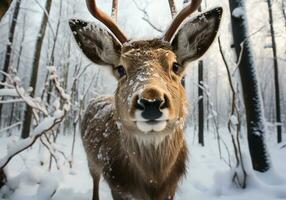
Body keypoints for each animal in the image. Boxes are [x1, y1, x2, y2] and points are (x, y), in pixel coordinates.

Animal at [69, 0, 223, 199]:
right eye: (120, 69)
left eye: (175, 65)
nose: (151, 102)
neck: (153, 183)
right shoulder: (117, 184)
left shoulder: (171, 189)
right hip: (91, 159)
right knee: (95, 181)